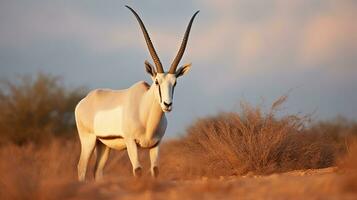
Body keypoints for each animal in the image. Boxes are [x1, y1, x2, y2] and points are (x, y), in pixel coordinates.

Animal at [74, 5, 199, 180]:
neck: (144, 111)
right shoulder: (131, 142)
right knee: (82, 167)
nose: (167, 105)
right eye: (156, 81)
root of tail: (84, 101)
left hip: (104, 145)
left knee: (97, 170)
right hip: (88, 140)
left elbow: (155, 170)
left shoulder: (156, 145)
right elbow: (137, 170)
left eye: (175, 83)